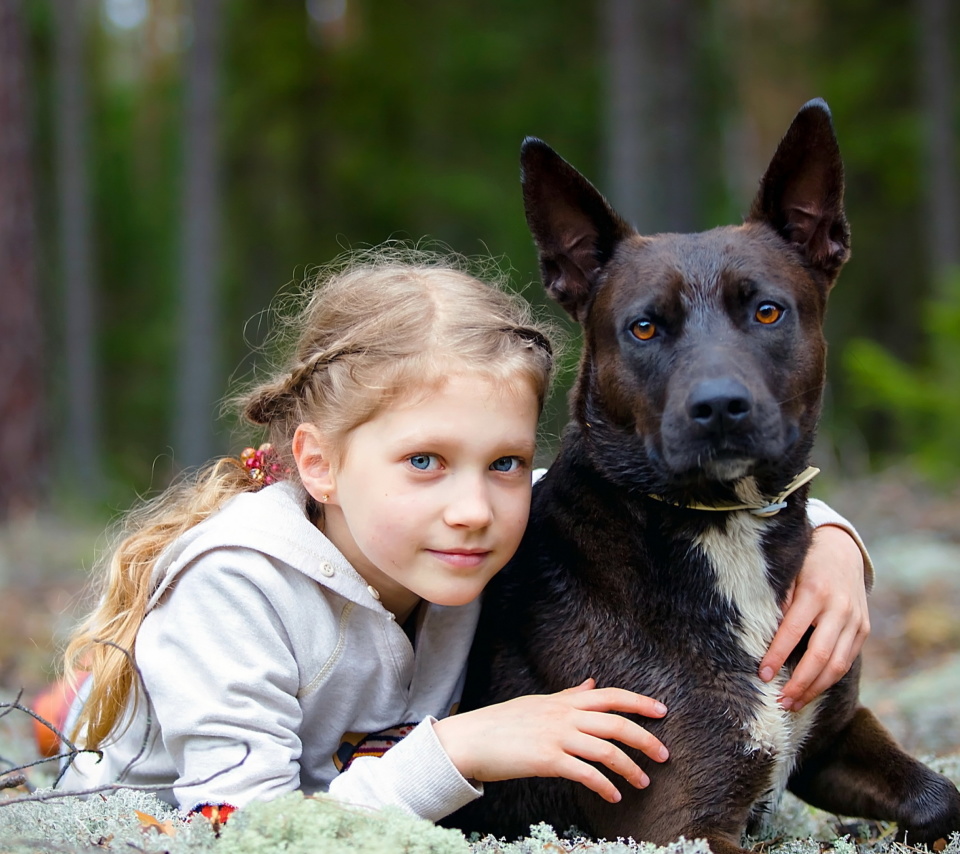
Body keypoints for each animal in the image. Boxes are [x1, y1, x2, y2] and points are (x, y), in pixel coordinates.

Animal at [448, 102, 960, 854]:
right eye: (644, 328)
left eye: (767, 311)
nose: (719, 407)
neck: (723, 525)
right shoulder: (678, 823)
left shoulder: (831, 735)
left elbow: (941, 797)